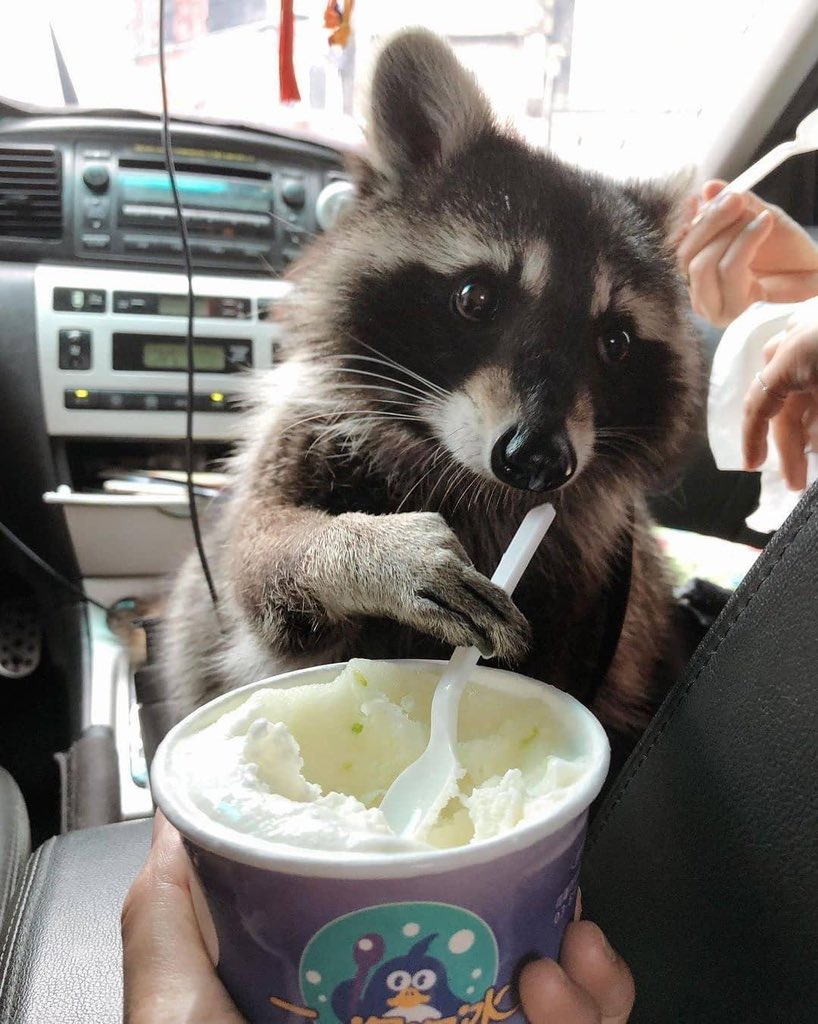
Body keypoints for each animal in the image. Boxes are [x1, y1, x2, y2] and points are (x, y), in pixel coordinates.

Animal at [161, 29, 702, 758]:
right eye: (476, 298)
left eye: (613, 342)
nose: (537, 458)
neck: (466, 472)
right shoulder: (303, 431)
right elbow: (256, 550)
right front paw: (366, 553)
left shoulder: (599, 582)